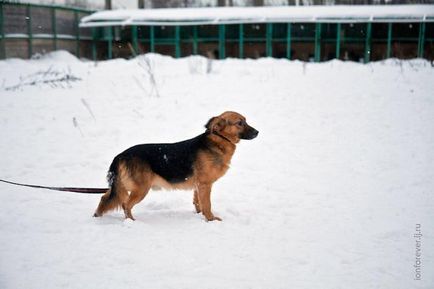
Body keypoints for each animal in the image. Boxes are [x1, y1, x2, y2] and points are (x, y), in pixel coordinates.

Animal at [93, 111, 258, 220]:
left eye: (245, 121)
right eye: (240, 123)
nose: (257, 132)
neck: (218, 140)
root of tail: (121, 155)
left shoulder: (199, 185)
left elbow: (198, 202)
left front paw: (199, 215)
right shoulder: (205, 185)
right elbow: (207, 204)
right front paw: (211, 219)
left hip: (124, 186)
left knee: (105, 198)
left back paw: (97, 216)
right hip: (140, 189)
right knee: (125, 205)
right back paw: (132, 222)